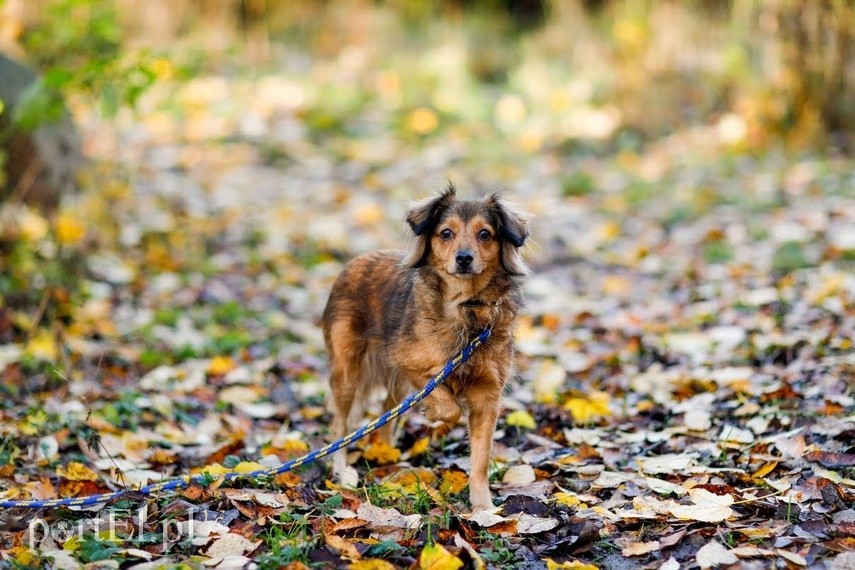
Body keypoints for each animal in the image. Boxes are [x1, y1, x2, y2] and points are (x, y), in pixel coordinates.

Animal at [320, 184, 528, 508]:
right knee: (341, 425)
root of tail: (355, 261)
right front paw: (436, 416)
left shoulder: (488, 395)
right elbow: (449, 407)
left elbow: (481, 458)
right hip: (347, 373)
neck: (467, 309)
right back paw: (343, 471)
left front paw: (483, 506)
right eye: (446, 233)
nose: (464, 258)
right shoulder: (409, 363)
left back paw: (387, 457)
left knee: (386, 411)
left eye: (485, 234)